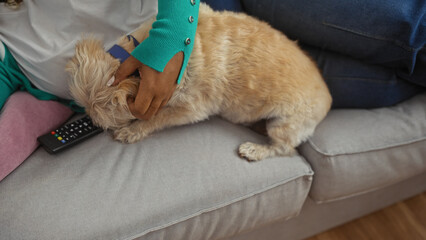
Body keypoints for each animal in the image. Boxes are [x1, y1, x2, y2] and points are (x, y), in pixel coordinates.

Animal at [66, 3, 332, 161]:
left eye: (103, 123)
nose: (89, 122)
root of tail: (329, 97)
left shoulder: (190, 108)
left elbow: (155, 118)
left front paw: (133, 130)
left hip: (285, 123)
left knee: (285, 148)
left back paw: (255, 149)